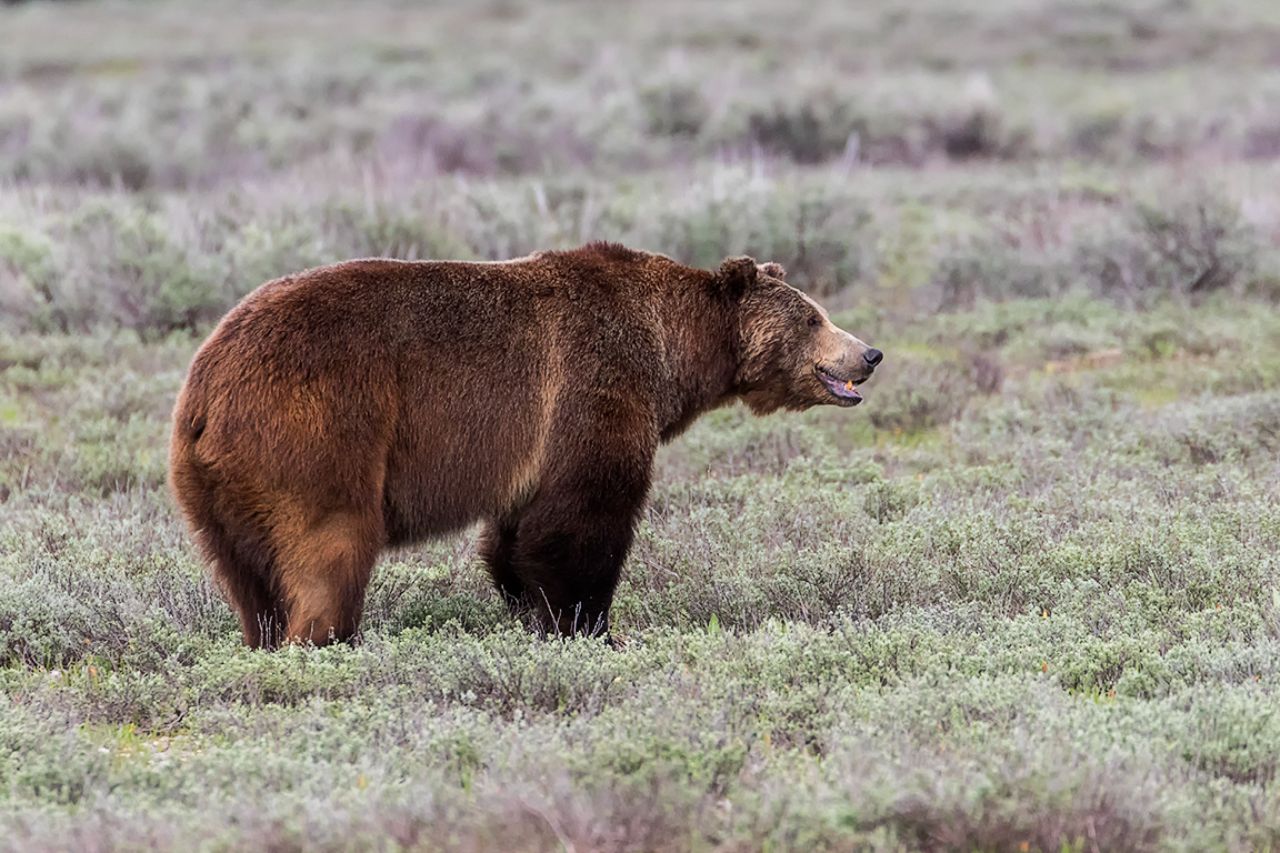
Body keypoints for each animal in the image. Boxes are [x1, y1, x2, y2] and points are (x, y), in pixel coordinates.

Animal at [168, 243, 882, 647]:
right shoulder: (592, 387)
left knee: (248, 576)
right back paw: (326, 640)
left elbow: (516, 536)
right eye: (813, 317)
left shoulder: (530, 450)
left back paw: (264, 638)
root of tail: (206, 389)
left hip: (216, 488)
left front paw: (529, 610)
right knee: (327, 549)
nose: (869, 354)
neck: (671, 353)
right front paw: (589, 625)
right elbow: (582, 521)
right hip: (317, 433)